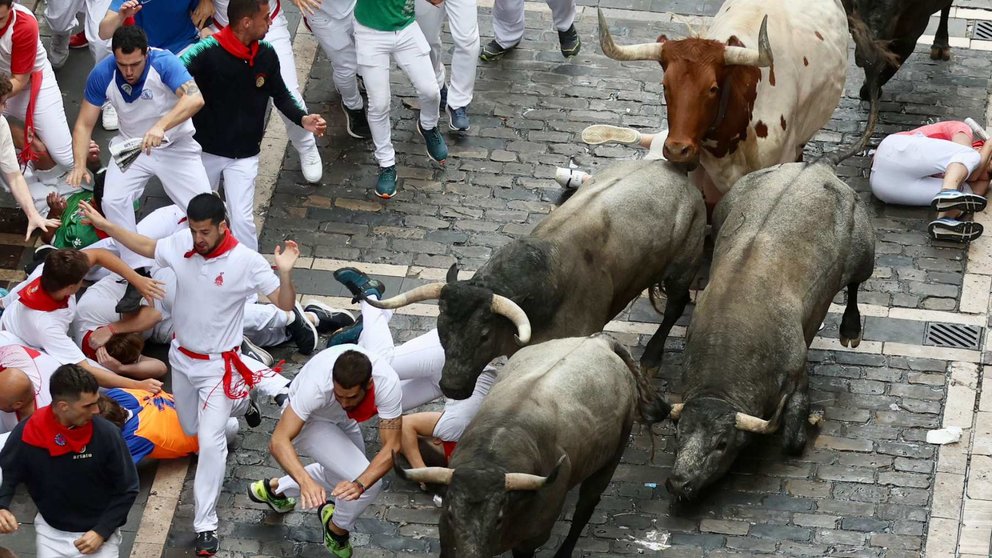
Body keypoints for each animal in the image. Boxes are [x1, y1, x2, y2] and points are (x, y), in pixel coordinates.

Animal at [362, 160, 704, 400]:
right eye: (441, 330)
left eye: (484, 335)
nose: (451, 388)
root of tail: (675, 171)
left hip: (682, 267)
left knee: (676, 306)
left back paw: (652, 357)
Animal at [396, 334, 668, 556]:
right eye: (451, 513)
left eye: (498, 518)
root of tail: (599, 341)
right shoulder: (447, 538)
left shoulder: (531, 540)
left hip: (611, 458)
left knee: (586, 506)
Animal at [668, 160, 876, 506]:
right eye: (679, 434)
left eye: (722, 443)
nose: (679, 483)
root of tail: (816, 166)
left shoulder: (797, 373)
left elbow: (792, 439)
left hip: (865, 254)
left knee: (856, 285)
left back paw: (851, 329)